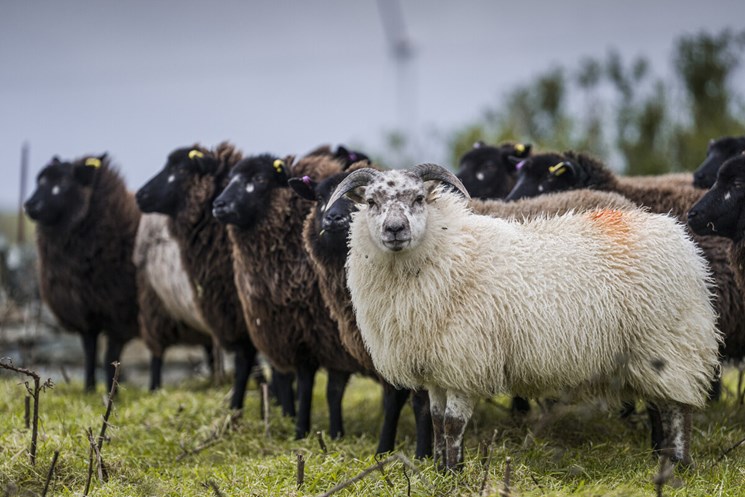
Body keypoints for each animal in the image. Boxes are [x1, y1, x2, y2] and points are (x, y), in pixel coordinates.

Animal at [23, 154, 140, 392]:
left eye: (63, 182)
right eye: (39, 180)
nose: (30, 205)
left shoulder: (120, 314)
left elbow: (110, 357)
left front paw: (112, 392)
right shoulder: (84, 311)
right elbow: (89, 353)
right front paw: (89, 389)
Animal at [212, 151, 365, 439]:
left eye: (260, 179)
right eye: (230, 179)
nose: (218, 205)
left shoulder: (320, 335)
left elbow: (322, 387)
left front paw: (310, 430)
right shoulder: (291, 331)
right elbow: (304, 383)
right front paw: (302, 426)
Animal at [327, 164, 720, 470]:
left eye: (419, 199)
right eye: (371, 202)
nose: (395, 229)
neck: (448, 250)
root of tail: (678, 237)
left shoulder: (464, 361)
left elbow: (452, 424)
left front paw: (453, 473)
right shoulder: (437, 364)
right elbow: (437, 422)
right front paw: (439, 467)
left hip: (671, 341)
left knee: (677, 408)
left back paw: (678, 463)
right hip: (650, 352)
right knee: (660, 403)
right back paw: (662, 456)